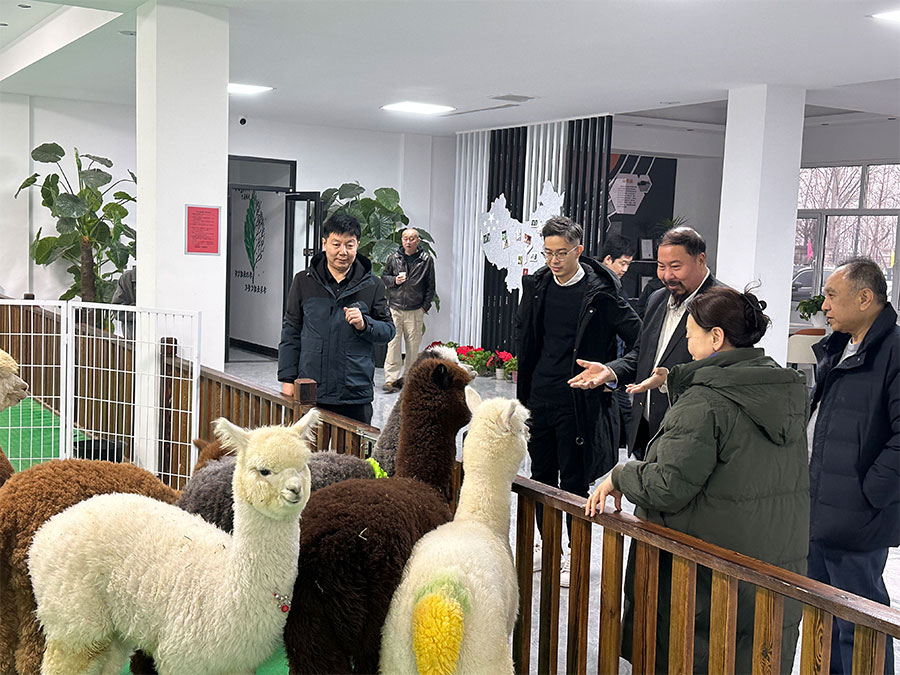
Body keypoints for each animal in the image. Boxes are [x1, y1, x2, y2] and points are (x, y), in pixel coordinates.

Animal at [27, 410, 319, 675]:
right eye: (264, 470)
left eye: (303, 466)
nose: (295, 489)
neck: (224, 587)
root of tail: (46, 530)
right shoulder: (180, 659)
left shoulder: (237, 667)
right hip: (75, 618)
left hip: (115, 629)